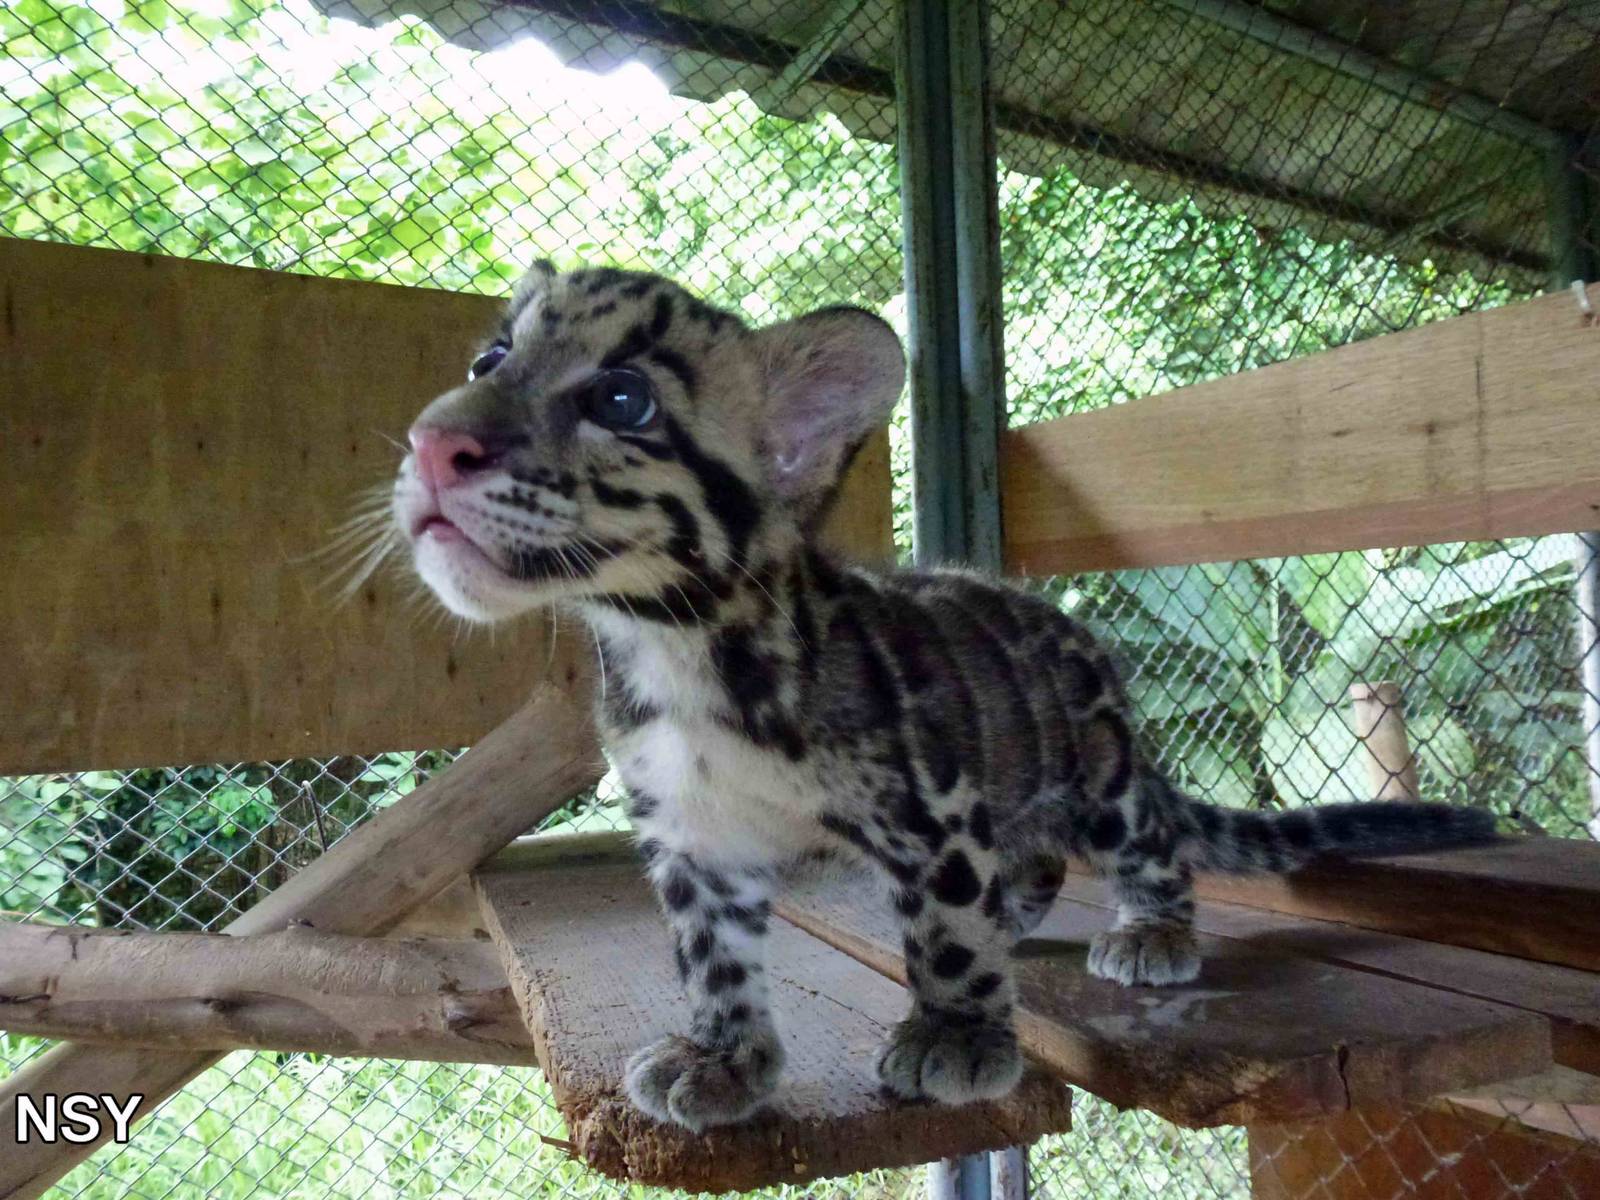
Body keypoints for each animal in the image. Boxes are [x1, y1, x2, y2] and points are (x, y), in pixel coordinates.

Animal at [379, 262, 1496, 1132]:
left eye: (621, 401)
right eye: (487, 363)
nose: (430, 444)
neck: (672, 644)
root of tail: (1071, 629)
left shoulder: (933, 801)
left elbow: (947, 928)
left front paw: (956, 1033)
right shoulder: (691, 837)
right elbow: (712, 957)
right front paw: (724, 1057)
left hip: (1099, 769)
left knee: (1145, 843)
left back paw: (1151, 932)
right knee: (1035, 857)